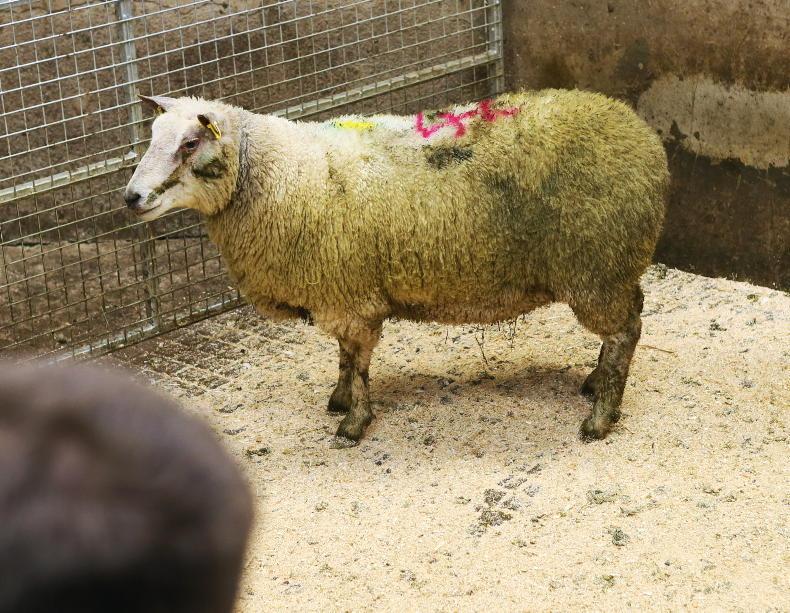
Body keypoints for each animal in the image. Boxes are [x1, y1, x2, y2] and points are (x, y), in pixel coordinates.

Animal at [124, 90, 668, 444]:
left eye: (189, 144)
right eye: (150, 138)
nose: (131, 198)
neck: (274, 175)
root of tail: (643, 137)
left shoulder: (350, 297)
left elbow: (358, 361)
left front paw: (353, 424)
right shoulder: (340, 293)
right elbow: (344, 358)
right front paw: (339, 398)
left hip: (596, 269)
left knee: (627, 331)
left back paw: (600, 417)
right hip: (612, 270)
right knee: (629, 320)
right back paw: (596, 382)